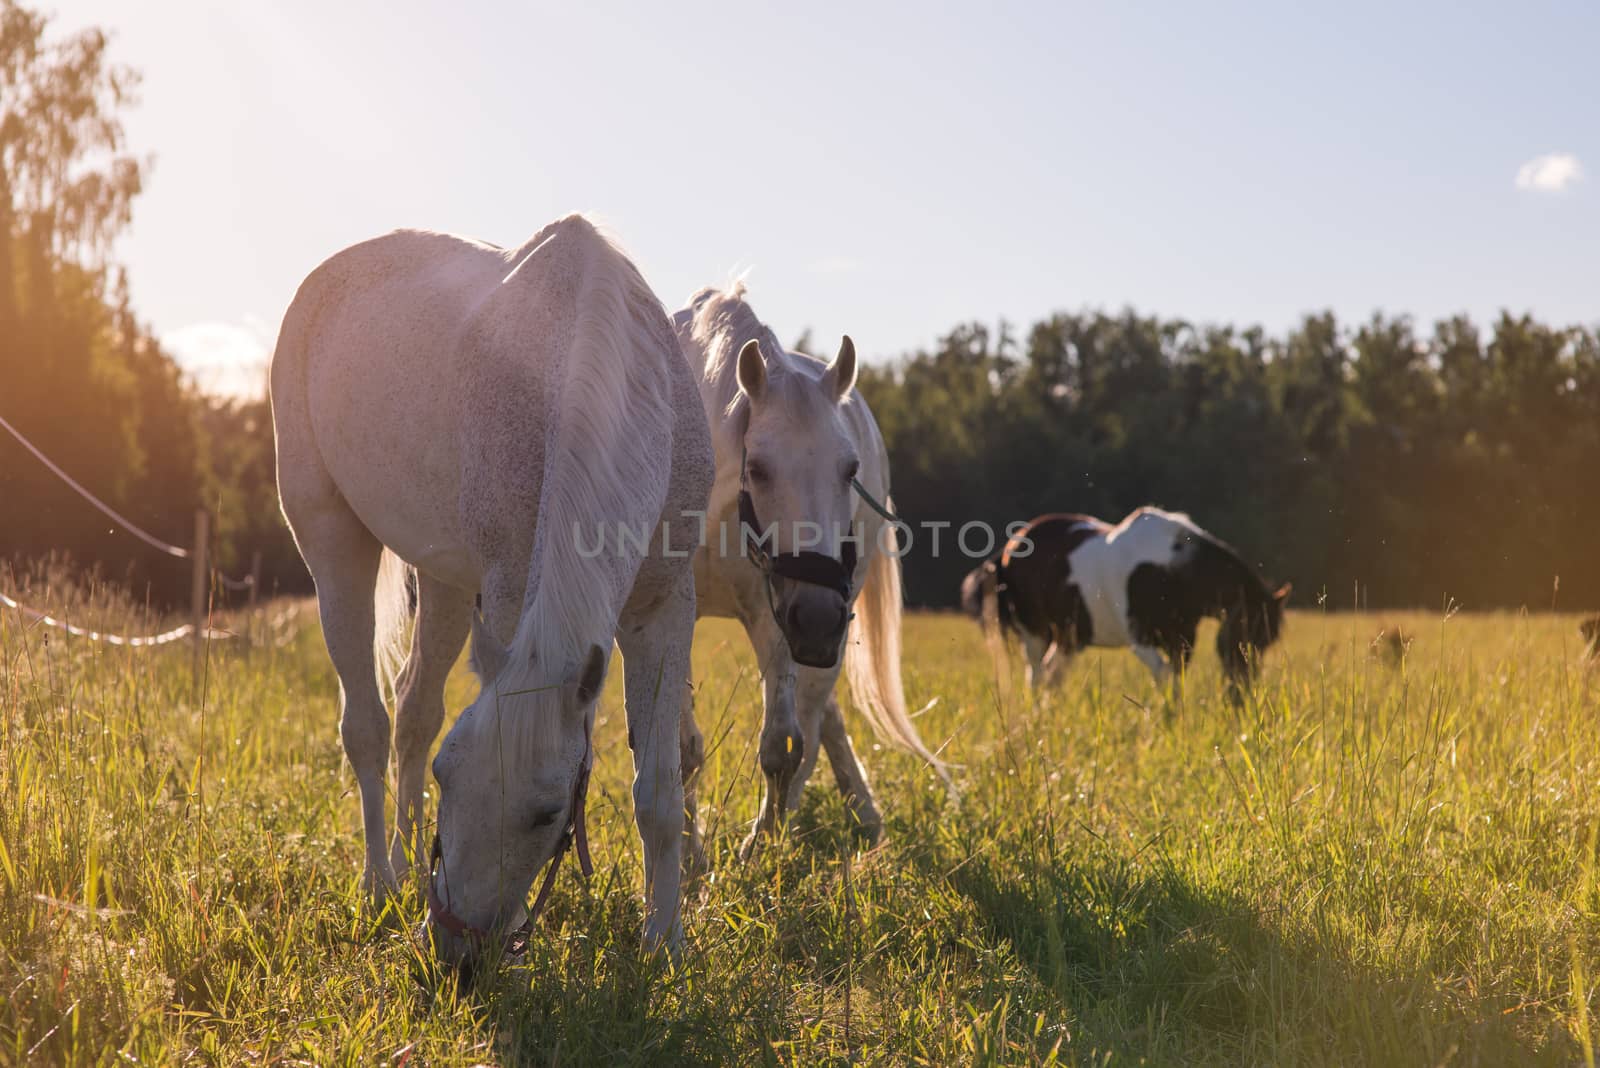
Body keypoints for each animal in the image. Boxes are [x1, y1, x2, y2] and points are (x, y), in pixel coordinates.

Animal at [272, 212, 710, 965]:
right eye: (450, 777)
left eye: (547, 812)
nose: (451, 955)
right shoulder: (508, 597)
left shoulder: (662, 608)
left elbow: (657, 792)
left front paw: (665, 943)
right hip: (331, 542)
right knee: (368, 728)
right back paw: (382, 884)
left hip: (446, 583)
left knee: (414, 714)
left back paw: (406, 867)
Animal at [675, 279, 947, 856]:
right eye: (757, 467)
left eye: (850, 469)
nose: (821, 617)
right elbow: (682, 746)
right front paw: (689, 858)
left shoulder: (780, 615)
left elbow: (784, 745)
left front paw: (761, 849)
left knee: (818, 714)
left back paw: (860, 814)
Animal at [960, 508, 1286, 693]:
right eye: (1249, 632)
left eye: (1268, 641)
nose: (1242, 692)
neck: (1172, 568)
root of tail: (1011, 546)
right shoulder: (1141, 641)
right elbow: (1165, 681)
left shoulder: (1182, 641)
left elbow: (1176, 682)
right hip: (1034, 632)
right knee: (1037, 675)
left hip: (1070, 637)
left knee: (1053, 676)